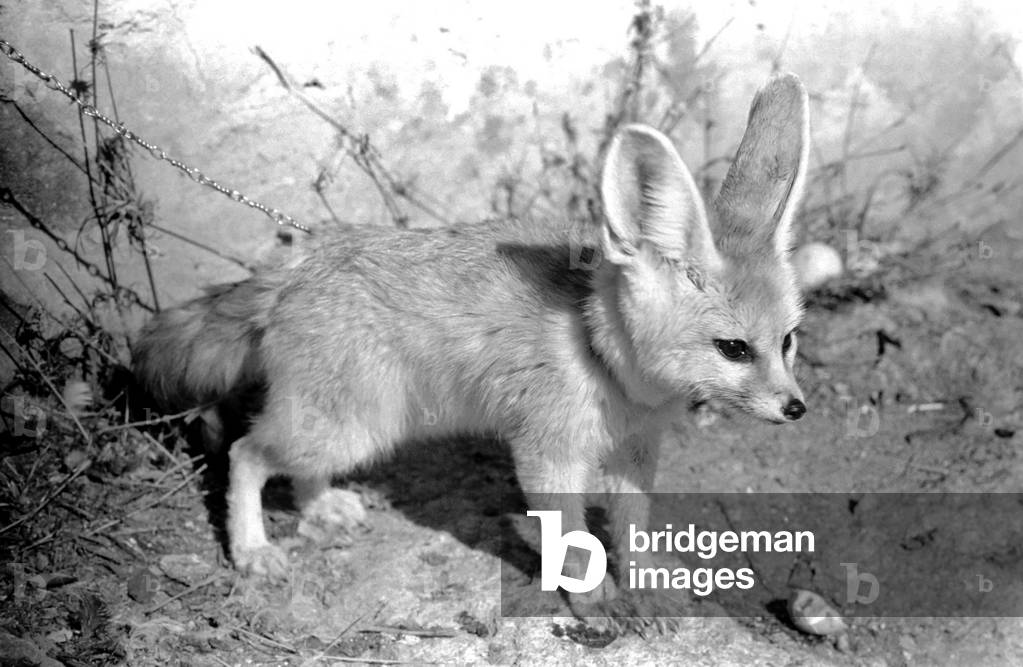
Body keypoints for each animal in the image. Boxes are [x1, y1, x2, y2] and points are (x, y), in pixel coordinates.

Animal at [132, 73, 810, 630]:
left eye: (787, 341)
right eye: (733, 349)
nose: (797, 409)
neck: (598, 353)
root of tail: (297, 265)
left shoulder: (635, 455)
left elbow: (630, 531)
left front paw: (647, 589)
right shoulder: (547, 458)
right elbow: (572, 541)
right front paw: (591, 599)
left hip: (342, 428)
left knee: (283, 464)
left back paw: (319, 507)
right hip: (348, 430)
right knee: (244, 453)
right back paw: (252, 549)